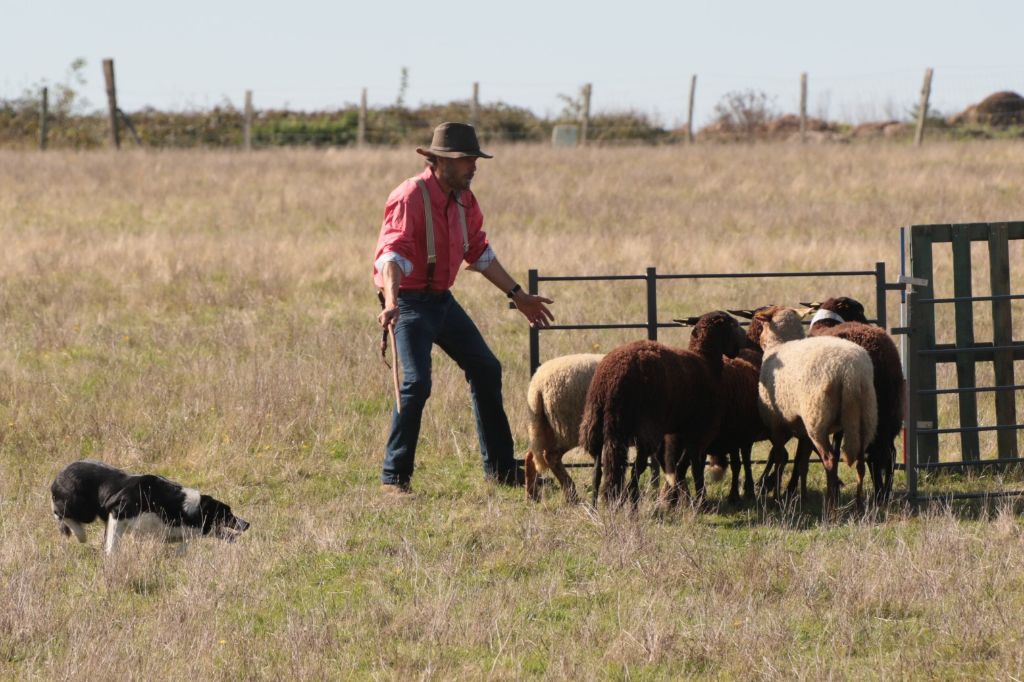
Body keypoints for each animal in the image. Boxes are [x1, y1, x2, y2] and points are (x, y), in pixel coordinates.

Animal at [524, 352, 602, 501]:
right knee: (551, 456)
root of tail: (537, 386)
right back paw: (572, 495)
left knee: (532, 455)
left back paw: (532, 494)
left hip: (544, 426)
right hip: (568, 427)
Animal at [577, 307, 745, 503]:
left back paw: (595, 504)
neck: (706, 363)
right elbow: (693, 465)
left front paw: (682, 498)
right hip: (643, 424)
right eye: (732, 324)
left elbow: (682, 465)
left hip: (594, 420)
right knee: (636, 467)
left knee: (598, 466)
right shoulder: (698, 429)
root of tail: (613, 377)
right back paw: (630, 500)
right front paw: (698, 500)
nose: (742, 343)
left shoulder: (680, 431)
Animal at [757, 305, 876, 512]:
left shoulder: (776, 423)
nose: (758, 341)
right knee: (860, 460)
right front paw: (803, 498)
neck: (779, 344)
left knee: (830, 459)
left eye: (763, 325)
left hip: (817, 419)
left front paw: (777, 498)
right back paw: (858, 504)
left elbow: (780, 458)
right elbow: (802, 463)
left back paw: (831, 505)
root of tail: (851, 372)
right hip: (865, 415)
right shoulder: (803, 431)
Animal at [806, 294, 905, 501]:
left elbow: (833, 452)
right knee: (886, 453)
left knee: (872, 454)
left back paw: (880, 493)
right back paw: (884, 493)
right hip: (889, 411)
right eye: (859, 310)